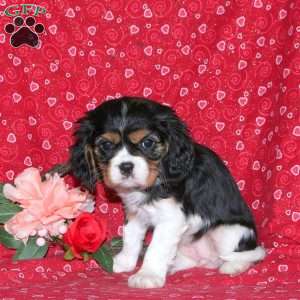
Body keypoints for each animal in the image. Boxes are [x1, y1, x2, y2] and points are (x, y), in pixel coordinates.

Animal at [69, 96, 264, 288]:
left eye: (147, 143)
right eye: (106, 145)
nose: (126, 166)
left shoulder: (171, 219)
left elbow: (156, 248)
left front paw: (147, 275)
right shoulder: (135, 214)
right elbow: (131, 238)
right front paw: (124, 263)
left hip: (229, 232)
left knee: (245, 255)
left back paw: (233, 266)